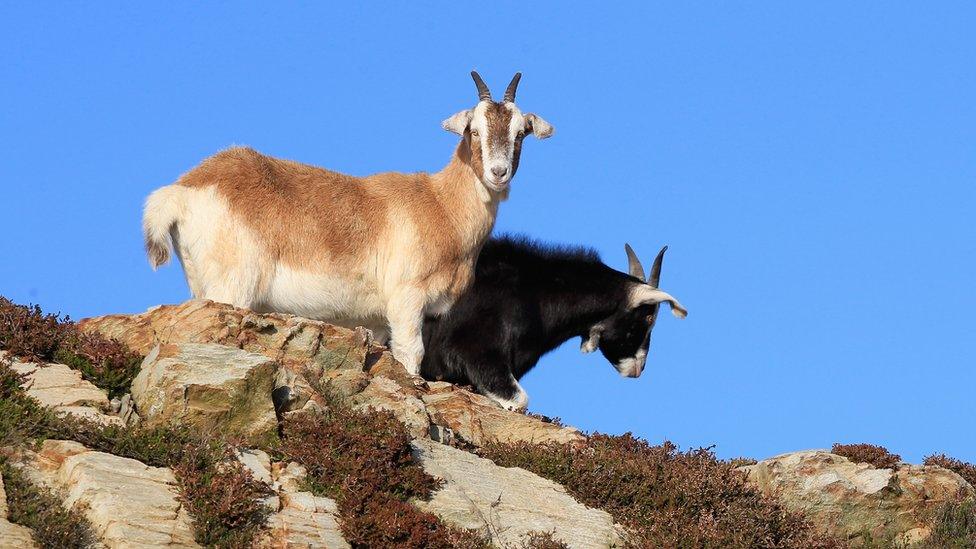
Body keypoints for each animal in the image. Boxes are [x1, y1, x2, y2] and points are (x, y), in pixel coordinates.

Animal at [146, 71, 556, 372]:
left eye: (520, 133)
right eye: (474, 130)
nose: (498, 173)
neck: (440, 203)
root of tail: (185, 187)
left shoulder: (375, 320)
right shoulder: (406, 300)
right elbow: (411, 356)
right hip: (231, 289)